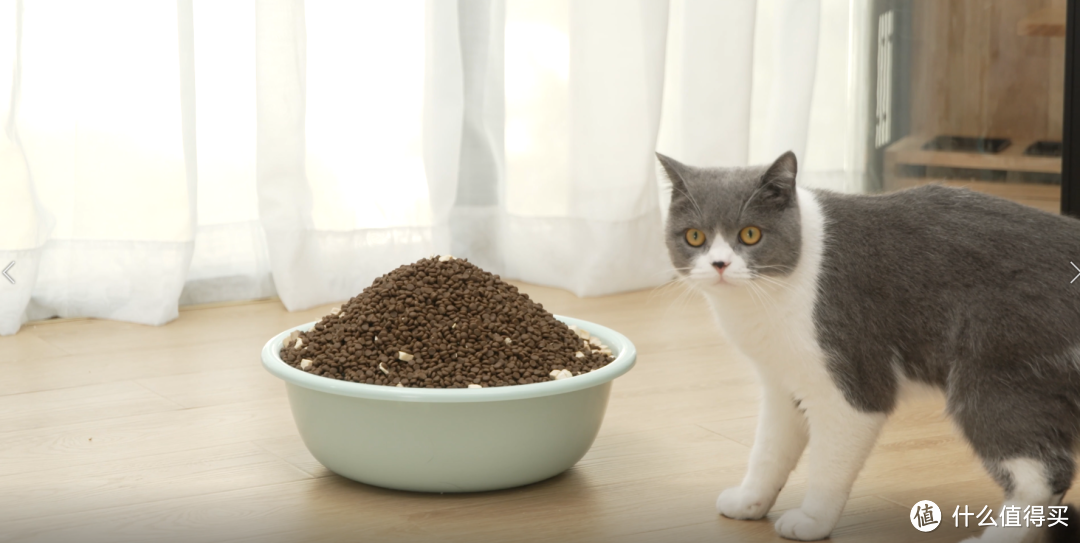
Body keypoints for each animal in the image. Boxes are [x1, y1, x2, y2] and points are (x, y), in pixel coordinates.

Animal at [656, 150, 1080, 543]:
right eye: (694, 237)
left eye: (750, 234)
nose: (719, 265)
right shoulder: (782, 381)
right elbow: (769, 448)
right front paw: (750, 501)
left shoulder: (850, 374)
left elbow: (830, 462)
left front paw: (811, 521)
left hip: (996, 376)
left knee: (1042, 476)